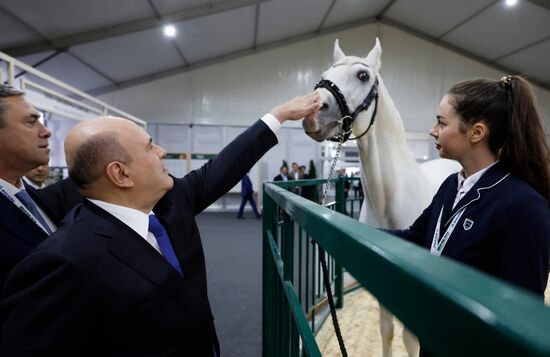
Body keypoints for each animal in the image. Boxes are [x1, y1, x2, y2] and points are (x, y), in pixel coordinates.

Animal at [306, 39, 462, 356]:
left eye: (363, 75)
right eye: (326, 73)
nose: (312, 112)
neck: (390, 201)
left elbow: (411, 340)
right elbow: (387, 330)